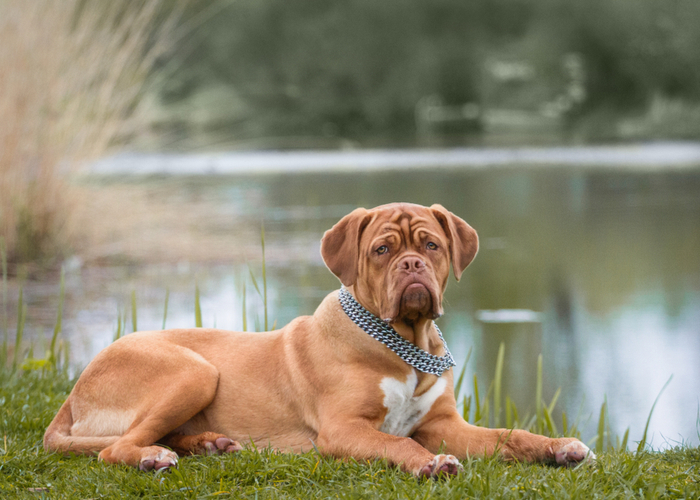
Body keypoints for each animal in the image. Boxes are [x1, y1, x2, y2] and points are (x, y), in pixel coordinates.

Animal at [43, 202, 592, 476]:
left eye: (431, 245)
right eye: (382, 250)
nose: (412, 266)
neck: (404, 345)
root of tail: (74, 390)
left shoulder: (444, 425)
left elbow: (510, 436)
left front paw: (558, 447)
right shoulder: (345, 430)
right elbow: (398, 444)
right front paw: (432, 464)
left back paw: (210, 443)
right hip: (194, 370)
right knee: (117, 447)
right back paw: (153, 457)